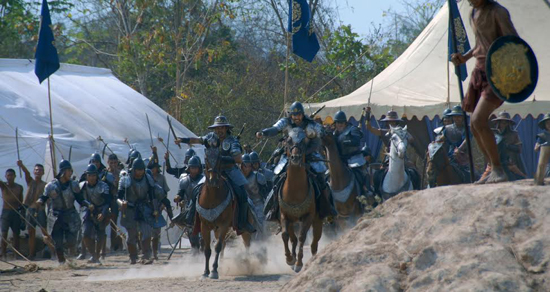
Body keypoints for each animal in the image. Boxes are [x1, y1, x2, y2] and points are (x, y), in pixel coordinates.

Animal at [198, 145, 252, 278]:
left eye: (219, 158)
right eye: (206, 157)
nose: (212, 180)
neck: (212, 197)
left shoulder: (224, 224)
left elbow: (217, 246)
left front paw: (214, 271)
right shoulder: (204, 226)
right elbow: (207, 249)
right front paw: (206, 272)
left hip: (243, 228)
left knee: (246, 243)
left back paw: (248, 265)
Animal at [280, 129, 324, 272]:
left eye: (304, 142)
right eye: (288, 140)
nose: (295, 158)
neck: (294, 189)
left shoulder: (308, 217)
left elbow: (302, 237)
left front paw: (299, 263)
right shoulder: (284, 215)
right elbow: (285, 235)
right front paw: (289, 259)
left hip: (317, 222)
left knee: (314, 243)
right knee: (292, 238)